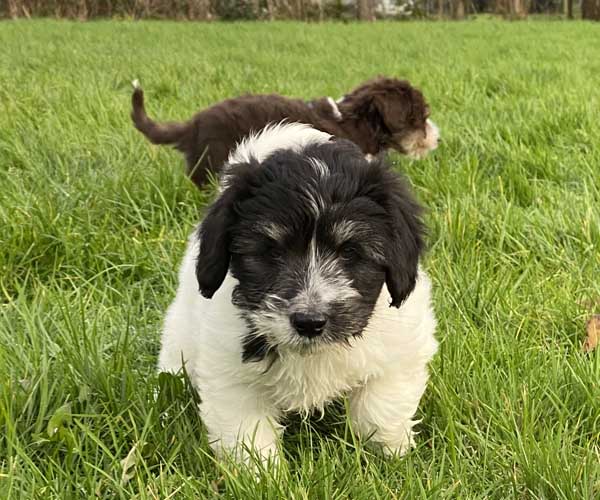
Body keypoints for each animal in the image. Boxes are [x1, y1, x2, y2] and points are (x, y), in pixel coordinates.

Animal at [158, 122, 438, 466]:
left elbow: (381, 405)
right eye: (272, 252)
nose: (309, 322)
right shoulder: (230, 372)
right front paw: (260, 473)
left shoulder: (401, 347)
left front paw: (389, 455)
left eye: (350, 252)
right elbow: (246, 431)